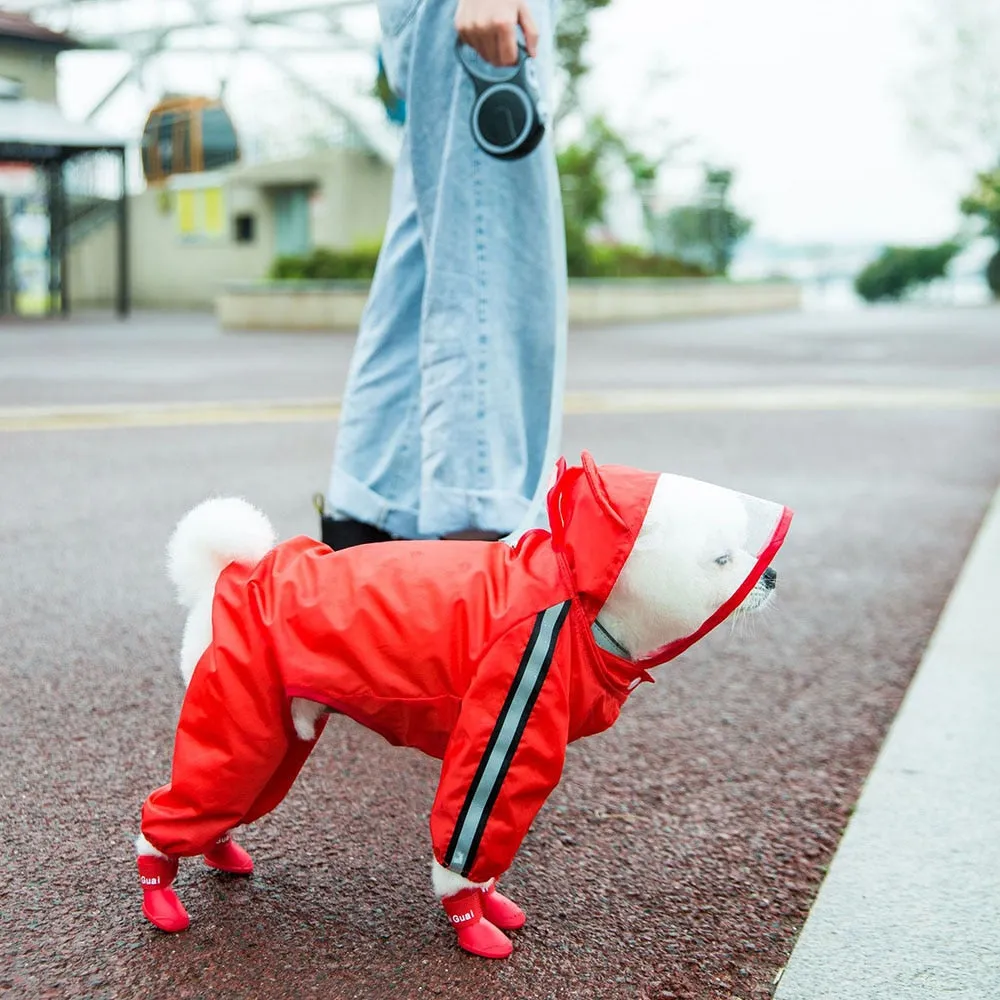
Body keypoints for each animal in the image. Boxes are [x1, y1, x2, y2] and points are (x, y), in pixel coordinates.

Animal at [135, 458, 788, 956]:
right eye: (723, 560)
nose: (773, 576)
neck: (578, 599)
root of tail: (230, 574)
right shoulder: (508, 718)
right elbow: (467, 845)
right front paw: (472, 925)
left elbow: (494, 854)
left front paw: (491, 902)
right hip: (237, 721)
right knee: (173, 814)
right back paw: (160, 896)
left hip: (276, 739)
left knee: (226, 805)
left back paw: (221, 853)